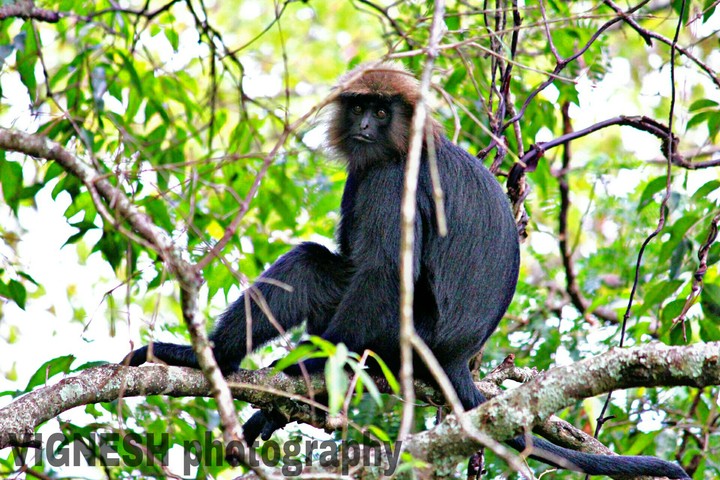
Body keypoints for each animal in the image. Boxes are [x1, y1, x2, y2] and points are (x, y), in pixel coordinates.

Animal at [123, 63, 689, 479]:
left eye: (380, 109)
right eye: (358, 107)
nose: (364, 126)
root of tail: (457, 358)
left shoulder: (392, 179)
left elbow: (381, 274)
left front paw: (309, 371)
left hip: (405, 335)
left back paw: (241, 365)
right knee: (315, 268)